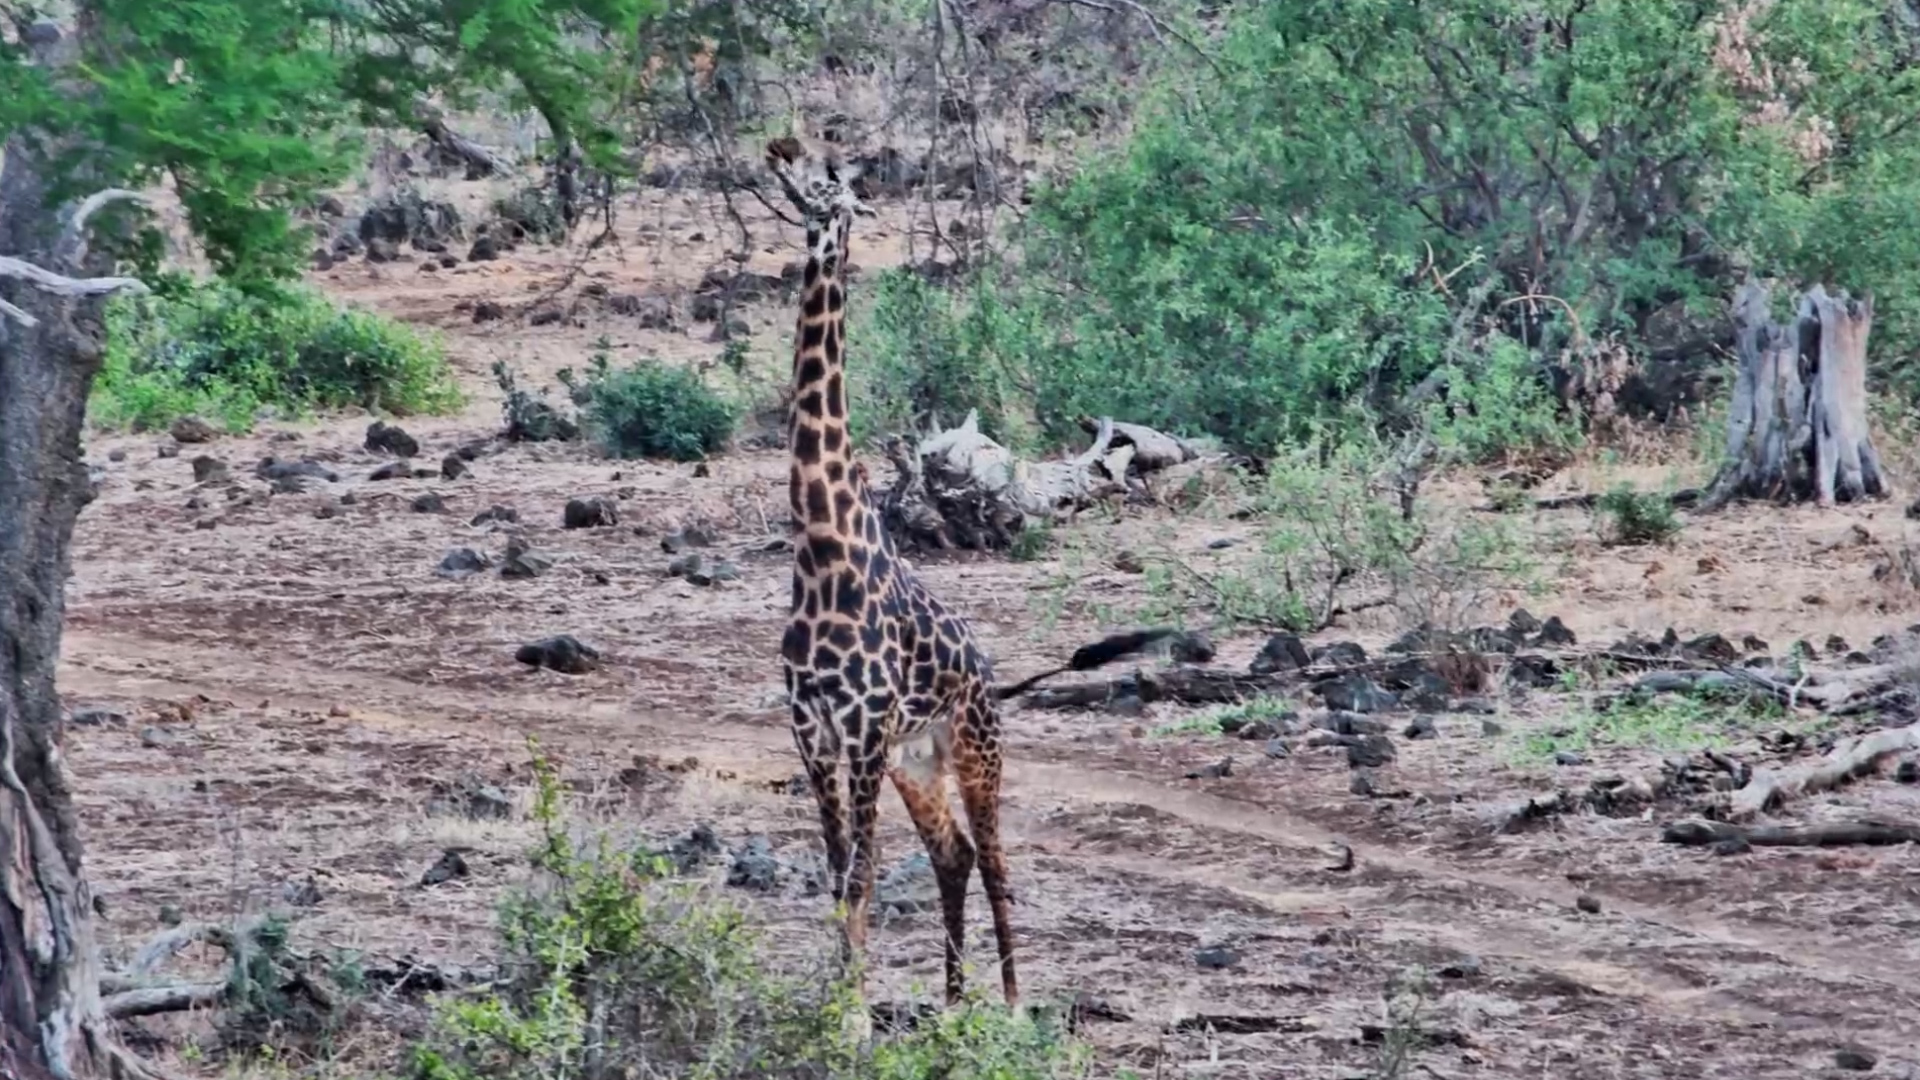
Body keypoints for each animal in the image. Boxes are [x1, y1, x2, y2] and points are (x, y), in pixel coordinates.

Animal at [765, 135, 1021, 1013]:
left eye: (828, 177)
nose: (776, 147)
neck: (821, 551)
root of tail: (985, 666)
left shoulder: (864, 728)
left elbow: (863, 873)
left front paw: (852, 1021)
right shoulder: (811, 728)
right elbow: (839, 873)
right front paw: (835, 1006)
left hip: (976, 749)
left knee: (998, 864)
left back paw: (1013, 1008)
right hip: (920, 763)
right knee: (955, 855)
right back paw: (951, 1005)